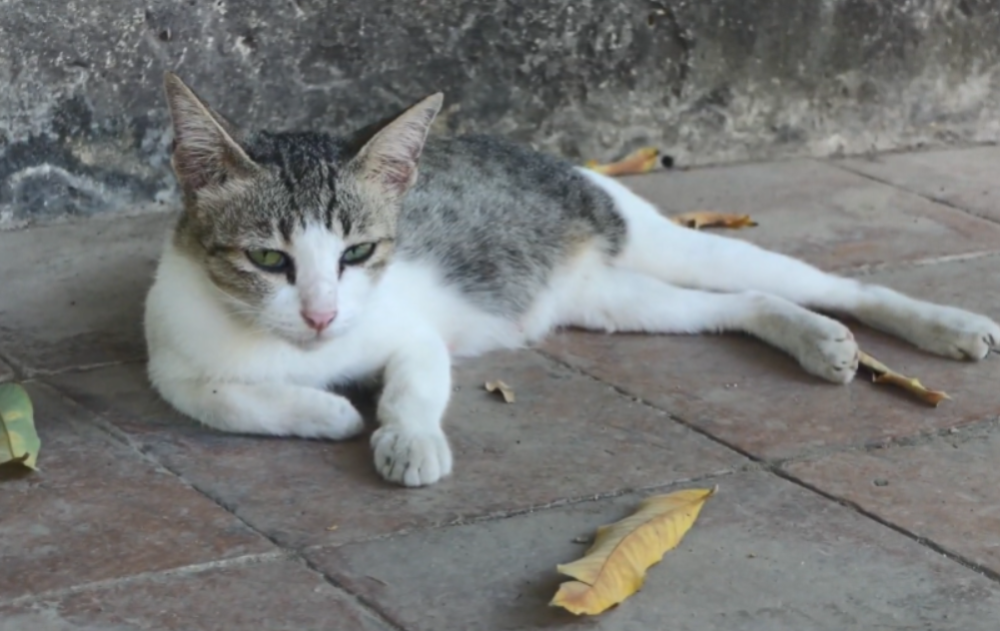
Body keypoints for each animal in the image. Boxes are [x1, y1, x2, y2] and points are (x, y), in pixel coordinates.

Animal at [146, 74, 1000, 488]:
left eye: (357, 252)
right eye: (269, 260)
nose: (322, 316)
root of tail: (553, 155)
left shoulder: (414, 334)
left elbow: (415, 384)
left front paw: (408, 438)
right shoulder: (171, 363)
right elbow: (224, 398)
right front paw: (324, 411)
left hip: (661, 242)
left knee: (824, 282)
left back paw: (942, 325)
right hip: (618, 302)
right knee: (741, 304)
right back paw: (817, 339)